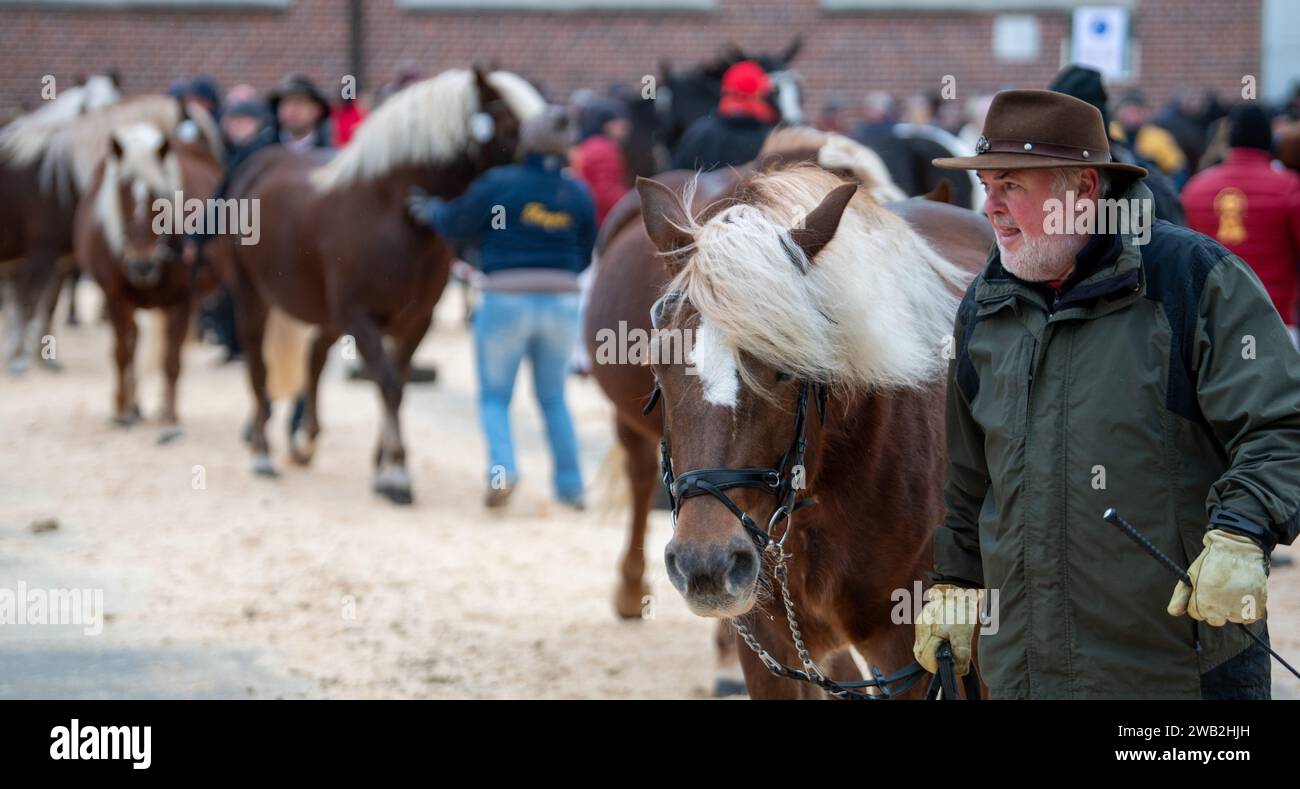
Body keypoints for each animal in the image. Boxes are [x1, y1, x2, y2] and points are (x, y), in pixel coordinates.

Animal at [74, 124, 223, 444]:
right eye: (122, 191)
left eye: (160, 195)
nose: (141, 265)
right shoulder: (116, 299)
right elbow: (121, 353)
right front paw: (121, 410)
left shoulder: (182, 302)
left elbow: (171, 360)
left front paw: (169, 416)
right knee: (132, 345)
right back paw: (133, 406)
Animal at [220, 64, 546, 504]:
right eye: (510, 123)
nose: (554, 173)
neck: (391, 211)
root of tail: (257, 164)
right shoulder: (362, 319)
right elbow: (388, 385)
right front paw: (396, 475)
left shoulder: (415, 320)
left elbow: (398, 383)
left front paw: (383, 466)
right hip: (252, 296)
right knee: (258, 367)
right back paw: (262, 454)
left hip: (329, 315)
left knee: (314, 359)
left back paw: (305, 442)